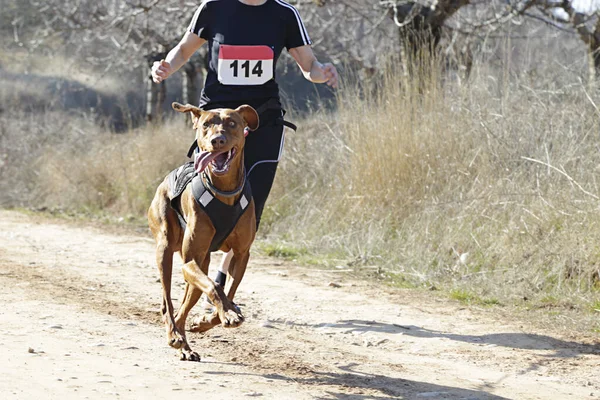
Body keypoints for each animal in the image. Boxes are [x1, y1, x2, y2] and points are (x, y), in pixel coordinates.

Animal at [148, 101, 258, 360]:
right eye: (206, 124)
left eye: (232, 123)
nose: (217, 140)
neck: (224, 191)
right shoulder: (190, 260)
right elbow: (216, 286)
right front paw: (224, 314)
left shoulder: (241, 255)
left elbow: (230, 291)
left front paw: (210, 320)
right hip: (166, 249)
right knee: (168, 303)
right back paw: (175, 336)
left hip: (202, 264)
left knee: (183, 308)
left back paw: (186, 344)